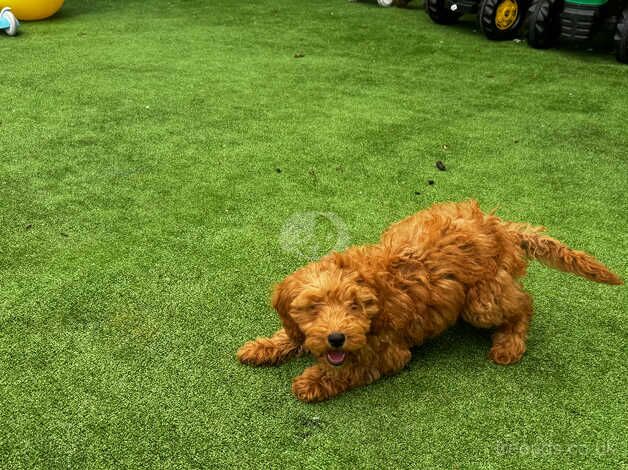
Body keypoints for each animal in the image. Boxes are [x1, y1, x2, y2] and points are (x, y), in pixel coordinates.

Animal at [237, 200, 624, 402]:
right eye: (313, 307)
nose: (336, 338)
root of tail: (499, 225)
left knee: (524, 303)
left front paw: (312, 382)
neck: (378, 288)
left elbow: (351, 367)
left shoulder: (392, 352)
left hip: (482, 301)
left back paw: (509, 343)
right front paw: (263, 346)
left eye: (355, 306)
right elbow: (293, 336)